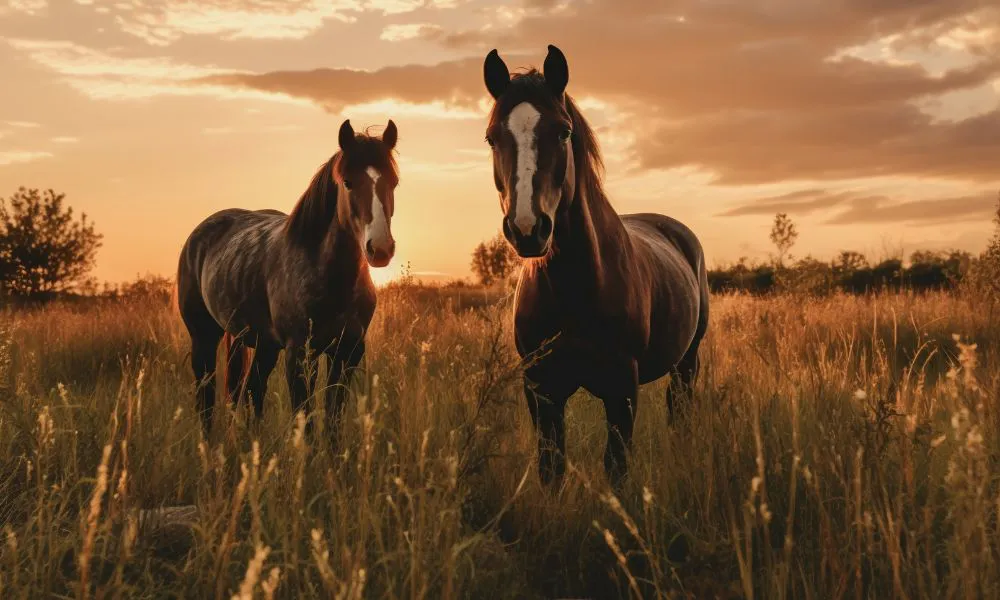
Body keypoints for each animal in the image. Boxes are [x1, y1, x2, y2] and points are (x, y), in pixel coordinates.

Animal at [176, 118, 400, 442]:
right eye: (347, 182)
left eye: (393, 182)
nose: (380, 248)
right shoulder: (299, 355)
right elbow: (305, 422)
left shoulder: (347, 352)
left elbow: (333, 420)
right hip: (204, 338)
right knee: (206, 399)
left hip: (264, 345)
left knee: (252, 391)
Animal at [482, 45, 710, 488]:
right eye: (492, 137)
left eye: (563, 132)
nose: (527, 228)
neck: (573, 289)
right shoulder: (541, 390)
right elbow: (551, 468)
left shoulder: (621, 390)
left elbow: (616, 468)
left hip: (686, 363)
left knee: (681, 412)